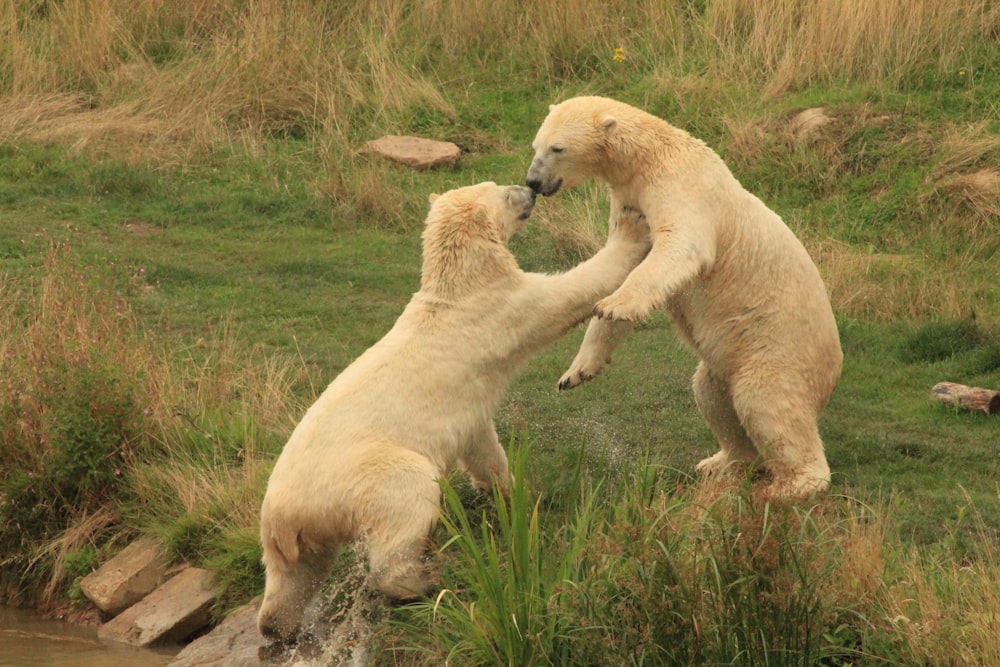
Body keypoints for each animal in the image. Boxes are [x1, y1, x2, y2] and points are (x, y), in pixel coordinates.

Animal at [254, 180, 652, 640]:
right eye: (501, 191)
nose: (528, 188)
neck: (460, 286)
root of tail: (283, 517)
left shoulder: (470, 403)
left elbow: (481, 444)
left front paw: (508, 489)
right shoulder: (504, 307)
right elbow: (568, 291)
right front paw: (632, 228)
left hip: (296, 536)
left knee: (294, 578)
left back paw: (276, 625)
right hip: (363, 477)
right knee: (405, 501)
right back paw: (420, 580)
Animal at [524, 96, 844, 498]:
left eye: (558, 148)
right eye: (535, 145)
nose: (533, 182)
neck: (650, 157)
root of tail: (831, 376)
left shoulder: (681, 187)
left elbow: (682, 246)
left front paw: (613, 306)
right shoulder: (630, 198)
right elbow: (624, 261)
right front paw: (576, 372)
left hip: (777, 350)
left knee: (767, 404)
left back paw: (790, 486)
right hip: (730, 359)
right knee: (712, 396)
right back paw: (721, 463)